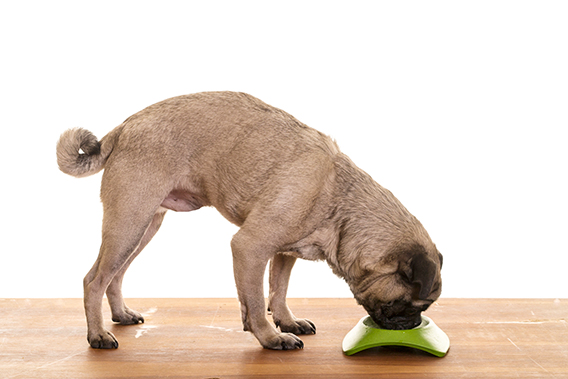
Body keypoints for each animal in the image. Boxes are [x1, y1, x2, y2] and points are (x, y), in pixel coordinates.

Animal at [55, 91, 442, 350]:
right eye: (407, 304)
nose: (412, 322)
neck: (339, 200)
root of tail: (123, 129)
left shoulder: (283, 253)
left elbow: (277, 290)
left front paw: (286, 321)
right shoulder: (250, 248)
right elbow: (255, 301)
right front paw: (270, 337)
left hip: (144, 227)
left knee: (116, 275)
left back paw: (120, 315)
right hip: (129, 222)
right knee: (95, 279)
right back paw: (97, 334)